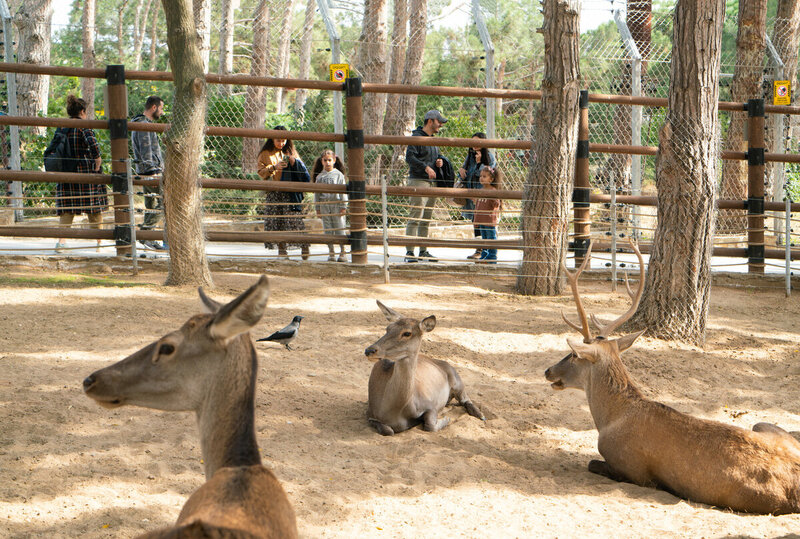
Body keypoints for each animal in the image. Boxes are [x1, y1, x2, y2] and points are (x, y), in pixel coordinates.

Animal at [366, 302, 484, 436]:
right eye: (388, 328)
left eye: (407, 333)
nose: (369, 350)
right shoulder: (370, 413)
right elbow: (388, 430)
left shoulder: (430, 404)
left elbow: (430, 425)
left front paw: (446, 419)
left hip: (456, 379)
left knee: (465, 399)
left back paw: (480, 415)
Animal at [548, 244, 800, 516]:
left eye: (574, 354)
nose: (548, 371)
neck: (610, 419)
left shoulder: (633, 470)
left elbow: (592, 463)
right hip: (764, 424)